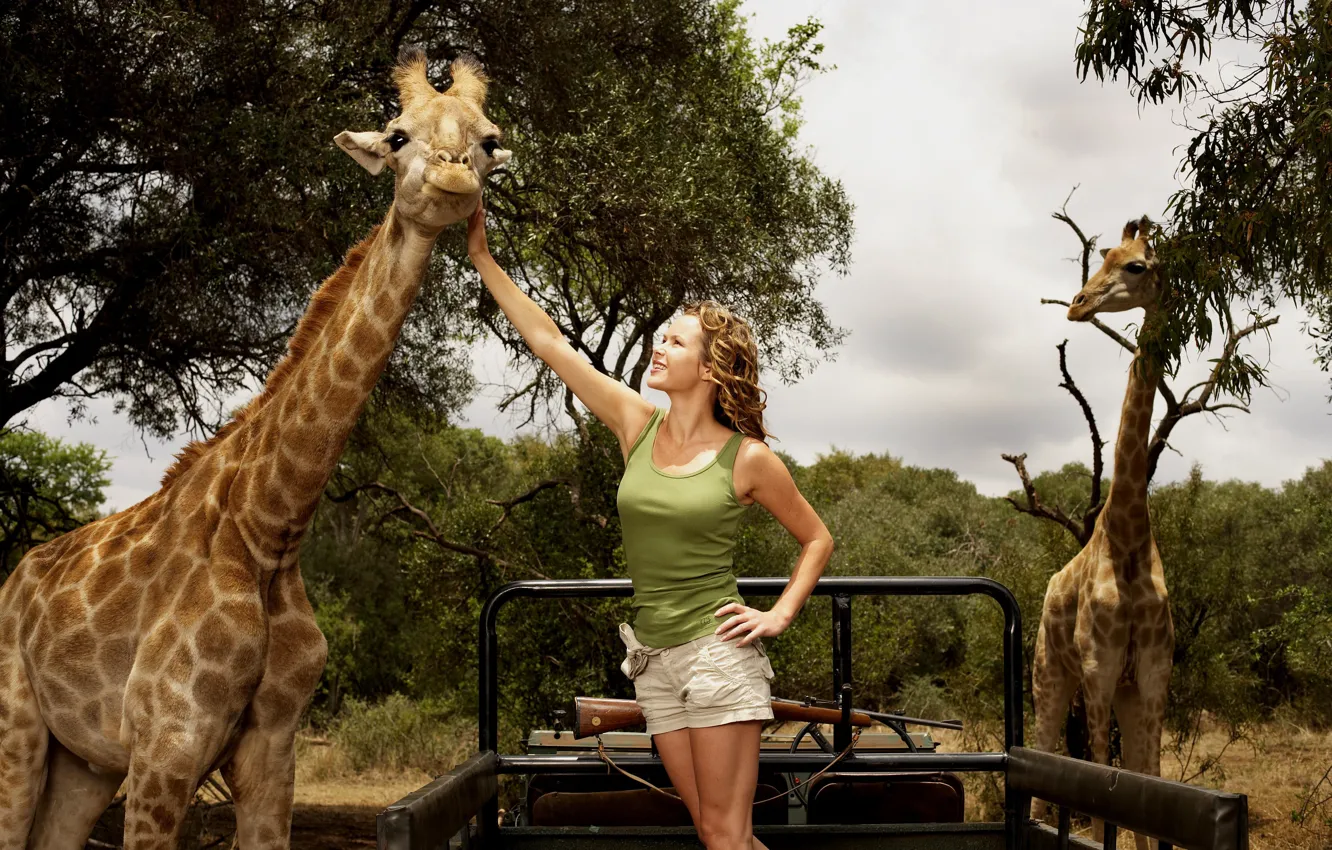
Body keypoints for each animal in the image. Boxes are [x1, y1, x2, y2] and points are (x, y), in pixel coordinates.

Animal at [0, 48, 510, 850]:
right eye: (397, 135)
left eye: (489, 140)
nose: (455, 177)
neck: (270, 528)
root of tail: (12, 581)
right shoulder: (167, 746)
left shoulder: (273, 747)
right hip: (18, 729)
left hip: (83, 760)